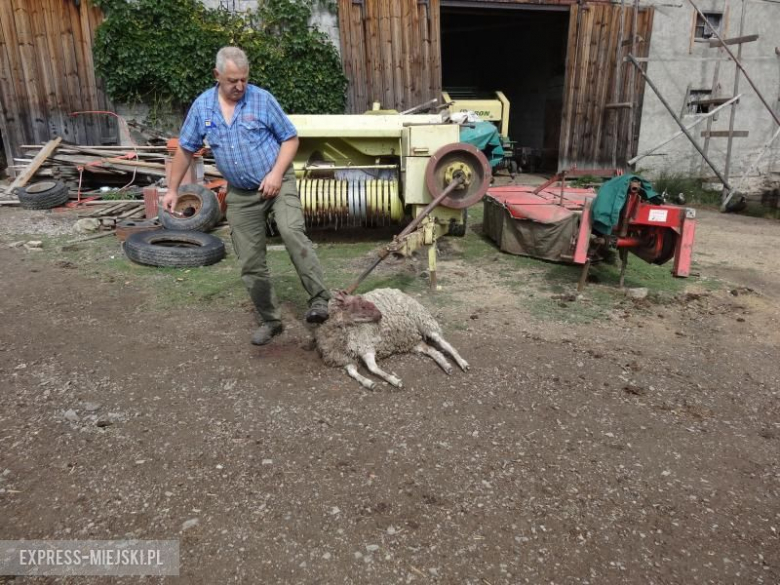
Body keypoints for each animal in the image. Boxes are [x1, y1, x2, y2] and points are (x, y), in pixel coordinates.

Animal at [312, 286, 470, 388]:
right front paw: (368, 383)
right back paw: (446, 366)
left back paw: (462, 363)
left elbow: (373, 368)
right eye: (361, 306)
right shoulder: (347, 358)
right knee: (431, 350)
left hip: (423, 319)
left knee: (444, 343)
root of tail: (396, 290)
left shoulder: (365, 346)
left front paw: (394, 381)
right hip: (410, 337)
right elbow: (351, 372)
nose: (380, 315)